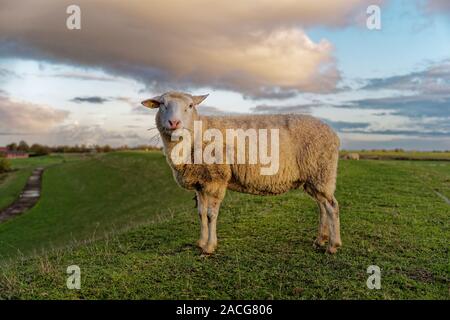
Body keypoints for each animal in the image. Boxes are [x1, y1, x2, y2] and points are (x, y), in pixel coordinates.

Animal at [141, 91, 342, 254]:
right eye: (161, 104)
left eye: (190, 106)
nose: (174, 123)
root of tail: (333, 133)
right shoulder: (201, 182)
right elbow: (200, 213)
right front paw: (201, 242)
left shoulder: (217, 179)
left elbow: (211, 215)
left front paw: (210, 247)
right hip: (314, 177)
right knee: (322, 206)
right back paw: (320, 240)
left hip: (321, 171)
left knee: (332, 206)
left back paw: (333, 245)